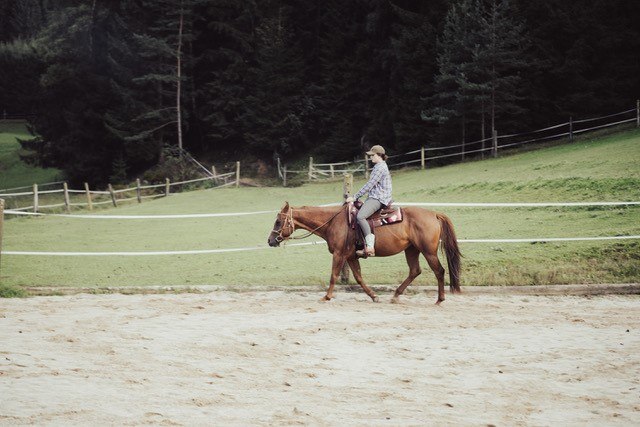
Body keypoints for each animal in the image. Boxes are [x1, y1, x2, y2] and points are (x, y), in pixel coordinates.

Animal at [267, 202, 462, 304]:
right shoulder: (351, 257)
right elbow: (359, 277)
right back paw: (396, 295)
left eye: (278, 222)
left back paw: (439, 299)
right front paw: (373, 296)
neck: (333, 222)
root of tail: (434, 214)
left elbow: (334, 275)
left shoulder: (339, 254)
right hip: (411, 250)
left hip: (428, 252)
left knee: (439, 271)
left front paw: (327, 296)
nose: (270, 241)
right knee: (415, 271)